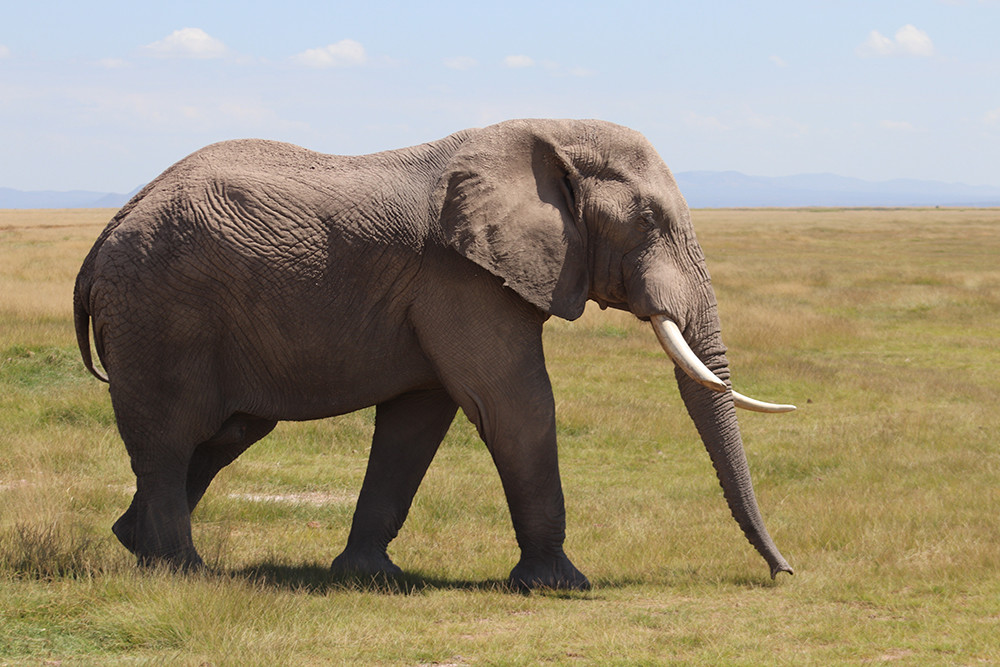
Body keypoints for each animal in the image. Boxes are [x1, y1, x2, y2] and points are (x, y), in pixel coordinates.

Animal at [74, 118, 795, 591]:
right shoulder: (462, 277)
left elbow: (418, 419)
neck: (540, 139)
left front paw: (369, 577)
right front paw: (560, 584)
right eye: (647, 221)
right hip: (160, 315)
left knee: (226, 433)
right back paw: (182, 571)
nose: (781, 572)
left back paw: (135, 545)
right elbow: (514, 404)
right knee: (173, 436)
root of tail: (104, 238)